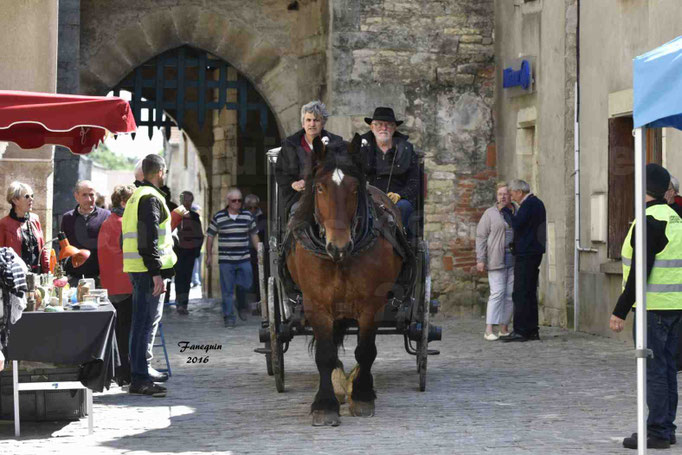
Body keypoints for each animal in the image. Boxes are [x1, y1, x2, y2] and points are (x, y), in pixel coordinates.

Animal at [284, 134, 402, 426]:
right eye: (320, 188)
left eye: (354, 189)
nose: (338, 246)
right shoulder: (315, 304)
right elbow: (325, 354)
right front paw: (325, 404)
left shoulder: (373, 304)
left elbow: (366, 350)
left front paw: (362, 395)